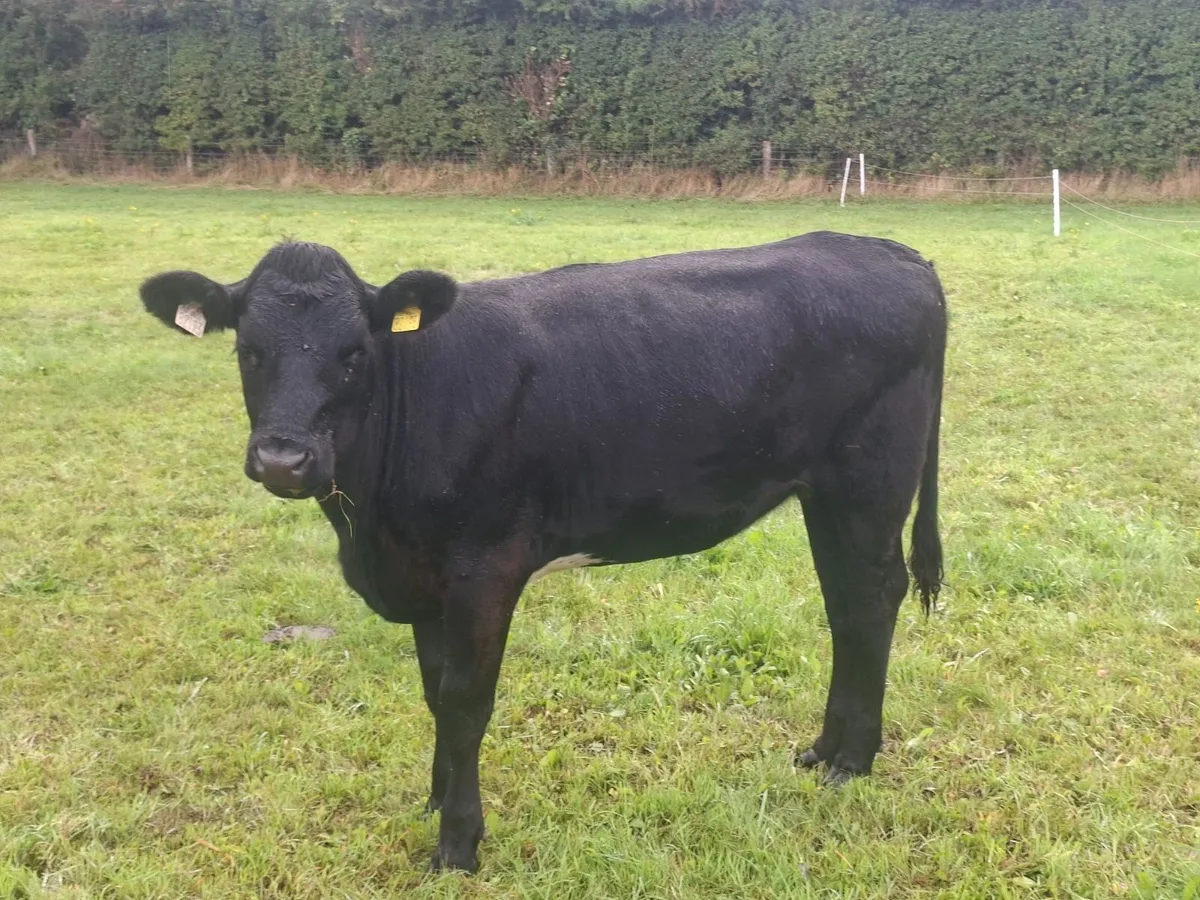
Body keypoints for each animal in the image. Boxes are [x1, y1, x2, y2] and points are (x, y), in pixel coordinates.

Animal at [139, 232, 946, 872]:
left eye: (353, 353)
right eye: (249, 349)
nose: (283, 460)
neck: (370, 526)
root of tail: (889, 252)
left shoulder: (483, 569)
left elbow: (466, 702)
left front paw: (458, 844)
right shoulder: (425, 580)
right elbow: (434, 693)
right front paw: (435, 803)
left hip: (869, 479)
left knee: (871, 599)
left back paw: (852, 761)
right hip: (826, 493)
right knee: (844, 605)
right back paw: (823, 751)